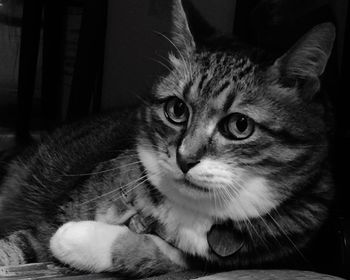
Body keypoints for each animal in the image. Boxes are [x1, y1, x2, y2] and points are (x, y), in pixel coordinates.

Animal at [0, 0, 334, 278]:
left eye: (240, 125)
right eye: (177, 109)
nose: (185, 159)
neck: (189, 209)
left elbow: (162, 255)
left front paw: (77, 239)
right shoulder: (51, 220)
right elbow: (19, 244)